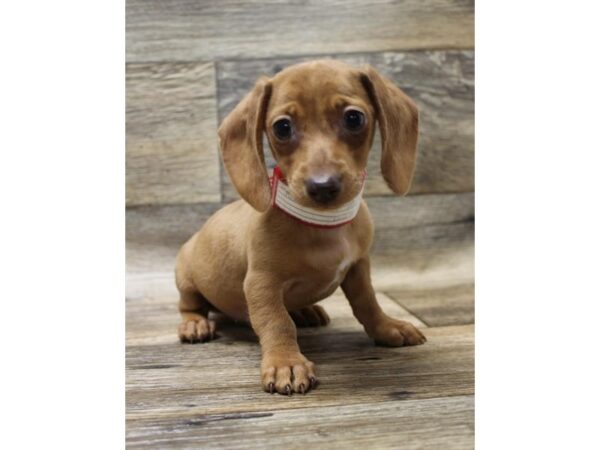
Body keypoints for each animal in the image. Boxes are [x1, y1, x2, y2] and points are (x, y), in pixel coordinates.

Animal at [176, 59, 424, 394]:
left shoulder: (359, 268)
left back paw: (306, 310)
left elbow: (367, 303)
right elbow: (277, 322)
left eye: (354, 118)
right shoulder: (261, 284)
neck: (323, 225)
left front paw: (387, 326)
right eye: (282, 127)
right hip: (186, 278)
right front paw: (286, 363)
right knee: (190, 304)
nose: (323, 186)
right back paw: (195, 323)